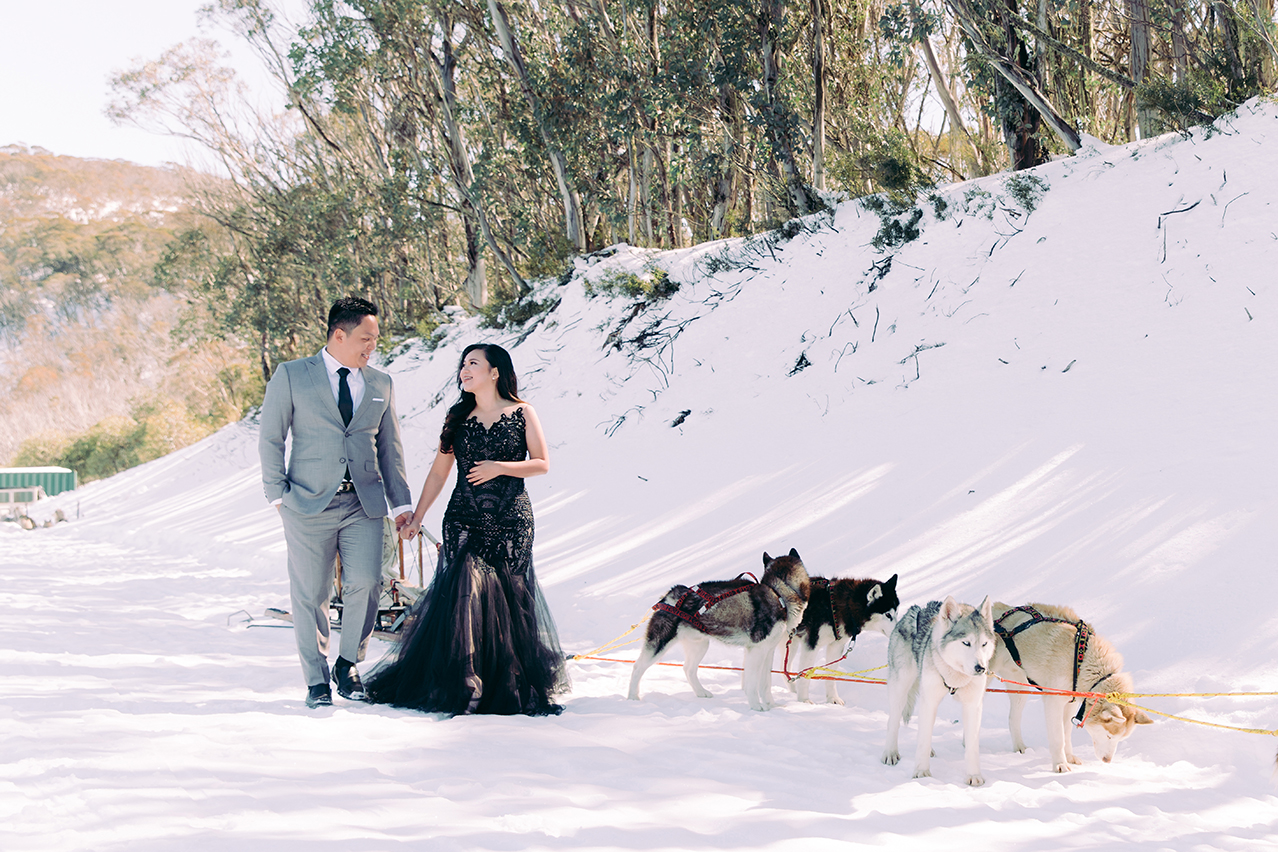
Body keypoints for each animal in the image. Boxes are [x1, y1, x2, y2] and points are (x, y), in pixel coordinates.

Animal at [626, 549, 807, 710]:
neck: (779, 593)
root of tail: (670, 595)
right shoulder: (756, 651)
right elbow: (752, 683)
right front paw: (756, 706)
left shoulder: (767, 652)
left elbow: (765, 684)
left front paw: (772, 705)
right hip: (659, 643)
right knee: (637, 667)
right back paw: (632, 697)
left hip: (700, 645)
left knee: (688, 669)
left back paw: (701, 692)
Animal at [787, 572, 899, 705]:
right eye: (888, 614)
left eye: (896, 614)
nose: (899, 630)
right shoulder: (811, 644)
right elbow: (806, 674)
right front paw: (804, 700)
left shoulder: (836, 646)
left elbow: (830, 676)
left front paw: (832, 698)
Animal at [879, 600, 996, 786]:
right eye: (966, 643)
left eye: (984, 644)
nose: (981, 668)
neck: (955, 677)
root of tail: (916, 609)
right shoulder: (929, 701)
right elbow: (922, 739)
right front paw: (922, 773)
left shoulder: (972, 705)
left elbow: (971, 745)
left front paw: (974, 775)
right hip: (900, 688)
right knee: (894, 721)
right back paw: (890, 753)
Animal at [991, 600, 1155, 771]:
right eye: (1109, 736)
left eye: (1120, 739)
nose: (1107, 761)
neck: (1082, 661)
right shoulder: (1053, 702)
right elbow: (1058, 738)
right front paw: (1060, 764)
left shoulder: (1070, 703)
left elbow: (1066, 734)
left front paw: (1069, 757)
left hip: (1020, 688)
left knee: (1013, 718)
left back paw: (1019, 747)